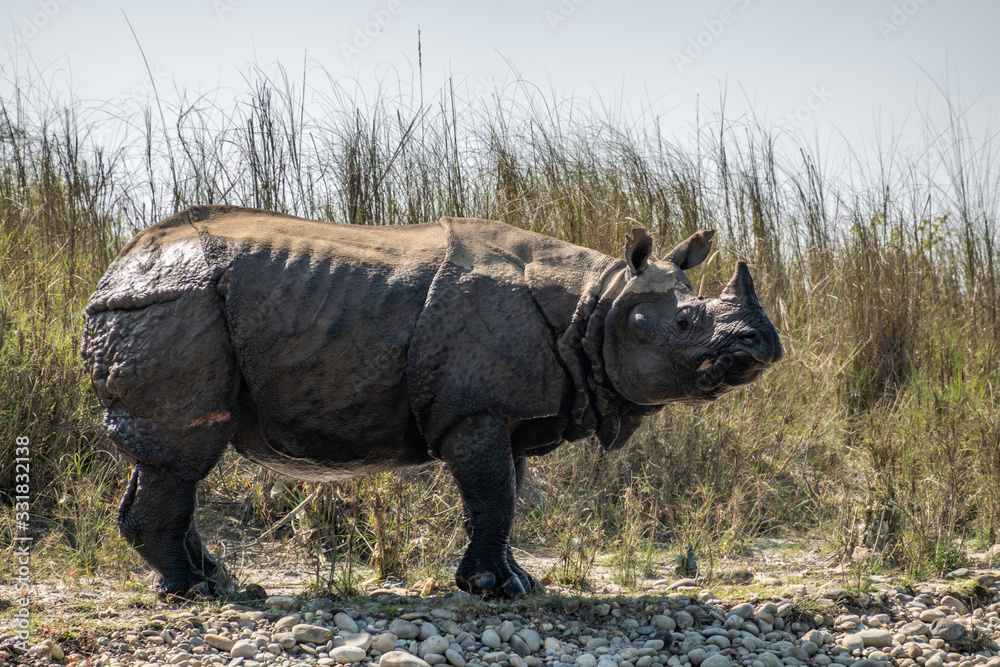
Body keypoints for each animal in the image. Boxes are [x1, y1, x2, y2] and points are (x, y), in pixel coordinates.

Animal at [81, 205, 782, 599]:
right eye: (686, 323)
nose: (765, 345)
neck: (600, 302)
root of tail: (117, 265)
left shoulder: (507, 410)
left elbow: (504, 497)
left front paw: (516, 584)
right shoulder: (474, 410)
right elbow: (493, 497)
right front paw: (494, 591)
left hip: (175, 301)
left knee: (171, 460)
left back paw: (218, 581)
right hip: (177, 303)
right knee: (181, 455)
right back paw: (196, 594)